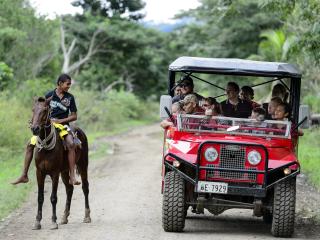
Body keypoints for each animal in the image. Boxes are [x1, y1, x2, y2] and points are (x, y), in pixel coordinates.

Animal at [30, 97, 90, 231]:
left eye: (45, 110)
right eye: (33, 109)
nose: (35, 128)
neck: (45, 149)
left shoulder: (54, 173)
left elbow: (53, 197)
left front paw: (53, 222)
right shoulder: (39, 172)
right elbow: (40, 198)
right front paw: (37, 222)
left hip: (83, 164)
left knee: (85, 187)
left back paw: (87, 216)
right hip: (65, 171)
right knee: (69, 189)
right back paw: (64, 217)